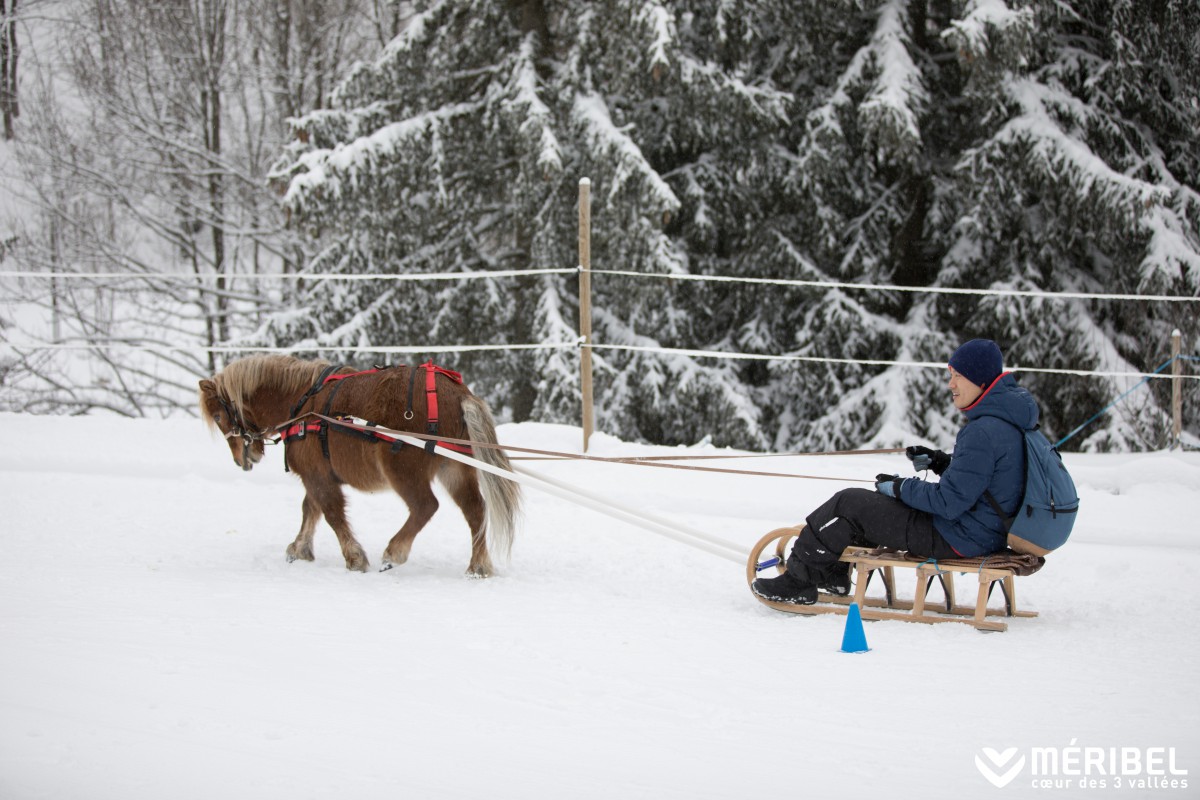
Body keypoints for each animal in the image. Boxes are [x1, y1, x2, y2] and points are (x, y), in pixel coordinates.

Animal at [198, 354, 522, 577]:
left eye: (218, 416)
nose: (243, 459)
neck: (301, 403)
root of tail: (457, 394)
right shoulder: (318, 474)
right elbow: (310, 509)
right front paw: (300, 548)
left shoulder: (317, 477)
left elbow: (331, 513)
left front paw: (354, 558)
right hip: (454, 468)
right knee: (475, 511)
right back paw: (477, 566)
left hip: (403, 469)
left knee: (425, 506)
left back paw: (395, 552)